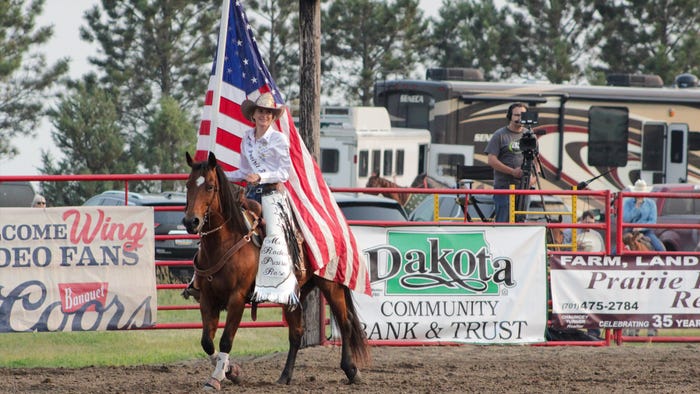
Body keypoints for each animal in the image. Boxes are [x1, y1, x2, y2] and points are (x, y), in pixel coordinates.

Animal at [183, 152, 370, 390]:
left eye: (209, 186)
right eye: (188, 185)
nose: (191, 221)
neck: (225, 243)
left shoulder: (237, 298)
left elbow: (226, 340)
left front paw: (217, 378)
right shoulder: (208, 299)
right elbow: (207, 342)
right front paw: (231, 371)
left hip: (331, 284)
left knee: (345, 323)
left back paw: (352, 370)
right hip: (294, 294)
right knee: (296, 333)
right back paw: (285, 376)